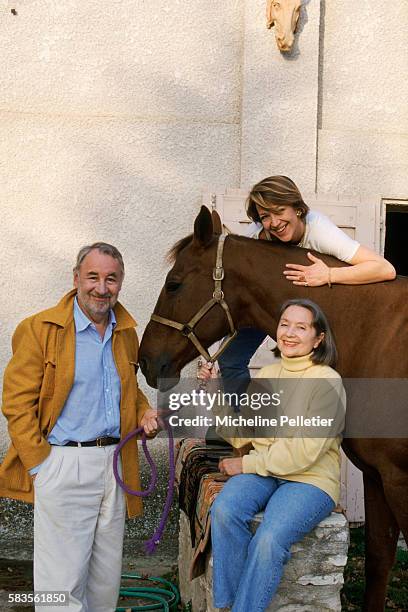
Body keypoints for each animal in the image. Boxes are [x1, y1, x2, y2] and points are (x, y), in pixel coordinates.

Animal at [139, 207, 408, 612]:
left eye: (174, 283)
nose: (145, 361)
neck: (372, 335)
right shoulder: (378, 476)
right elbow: (379, 557)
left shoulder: (400, 479)